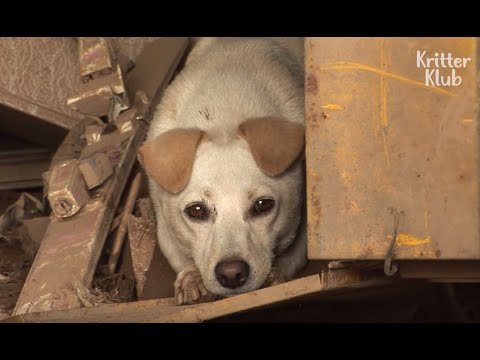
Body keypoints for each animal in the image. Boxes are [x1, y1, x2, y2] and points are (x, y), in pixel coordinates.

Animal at [138, 38, 308, 306]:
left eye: (263, 205)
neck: (222, 115)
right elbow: (182, 258)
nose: (232, 274)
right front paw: (191, 280)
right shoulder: (165, 229)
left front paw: (274, 276)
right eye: (196, 210)